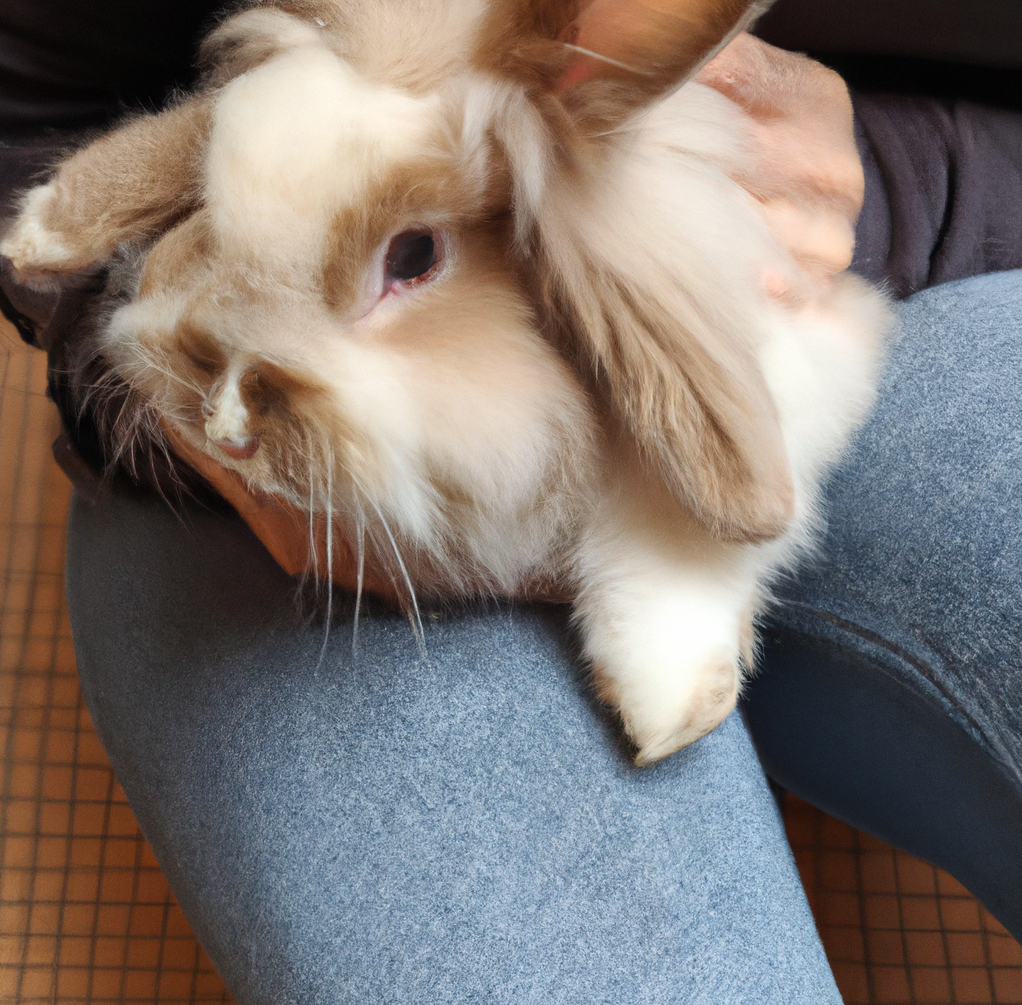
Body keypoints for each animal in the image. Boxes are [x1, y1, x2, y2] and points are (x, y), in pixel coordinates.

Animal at [0, 0, 887, 760]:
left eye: (414, 256)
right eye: (207, 211)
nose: (225, 428)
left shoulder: (805, 351)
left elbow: (689, 536)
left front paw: (664, 693)